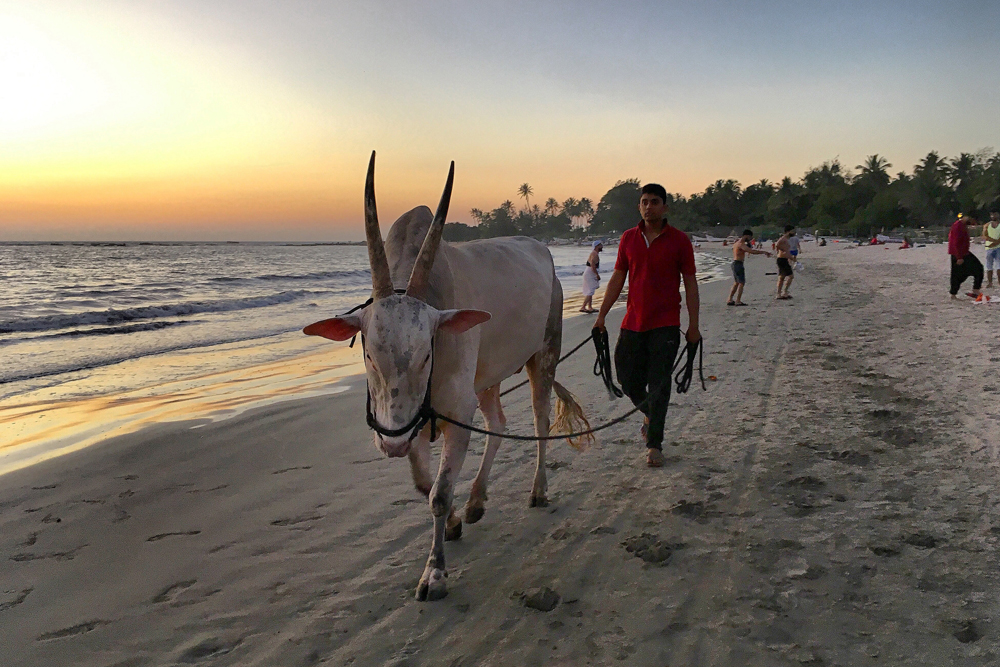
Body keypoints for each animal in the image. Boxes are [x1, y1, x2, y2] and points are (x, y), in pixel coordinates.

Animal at [304, 154, 584, 604]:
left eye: (426, 353)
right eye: (368, 354)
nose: (390, 442)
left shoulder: (455, 411)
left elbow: (438, 493)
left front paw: (434, 573)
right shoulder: (411, 421)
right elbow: (423, 484)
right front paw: (453, 522)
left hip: (544, 354)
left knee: (540, 422)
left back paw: (538, 490)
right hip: (486, 378)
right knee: (497, 422)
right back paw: (476, 500)